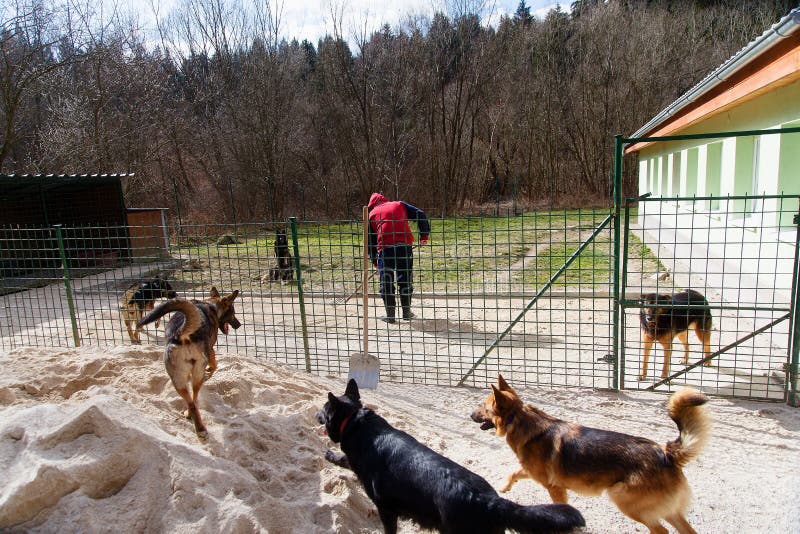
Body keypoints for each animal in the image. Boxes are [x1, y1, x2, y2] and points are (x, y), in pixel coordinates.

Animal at [138, 288, 241, 440]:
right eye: (233, 313)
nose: (239, 325)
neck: (211, 305)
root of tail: (181, 334)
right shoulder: (210, 348)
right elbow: (214, 364)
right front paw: (209, 371)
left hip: (177, 379)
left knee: (191, 403)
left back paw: (196, 425)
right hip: (197, 371)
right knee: (194, 396)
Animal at [318, 382, 588, 534]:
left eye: (323, 409)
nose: (316, 416)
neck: (356, 420)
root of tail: (489, 501)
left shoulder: (385, 508)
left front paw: (330, 453)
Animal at [472, 376, 708, 534]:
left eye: (483, 407)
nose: (470, 414)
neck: (518, 419)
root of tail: (665, 453)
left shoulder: (554, 487)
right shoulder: (531, 471)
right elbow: (513, 473)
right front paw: (504, 487)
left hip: (624, 500)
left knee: (661, 531)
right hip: (667, 510)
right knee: (686, 531)